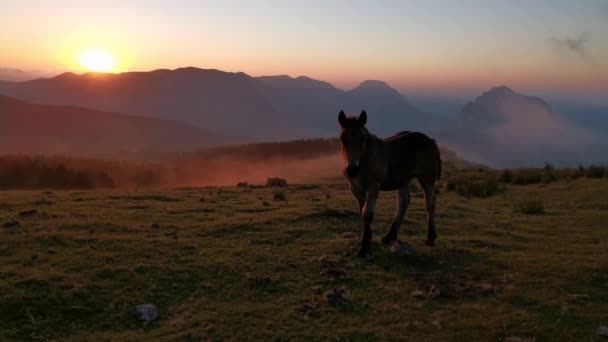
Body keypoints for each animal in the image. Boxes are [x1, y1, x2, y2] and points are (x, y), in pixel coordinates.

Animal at [338, 111, 442, 258]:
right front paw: (367, 242)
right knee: (403, 202)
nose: (352, 170)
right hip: (403, 180)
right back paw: (389, 237)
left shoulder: (373, 187)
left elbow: (367, 214)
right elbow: (362, 212)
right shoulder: (356, 190)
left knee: (430, 203)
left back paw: (430, 239)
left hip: (427, 178)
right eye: (342, 139)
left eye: (362, 139)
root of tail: (431, 141)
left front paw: (364, 249)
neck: (365, 160)